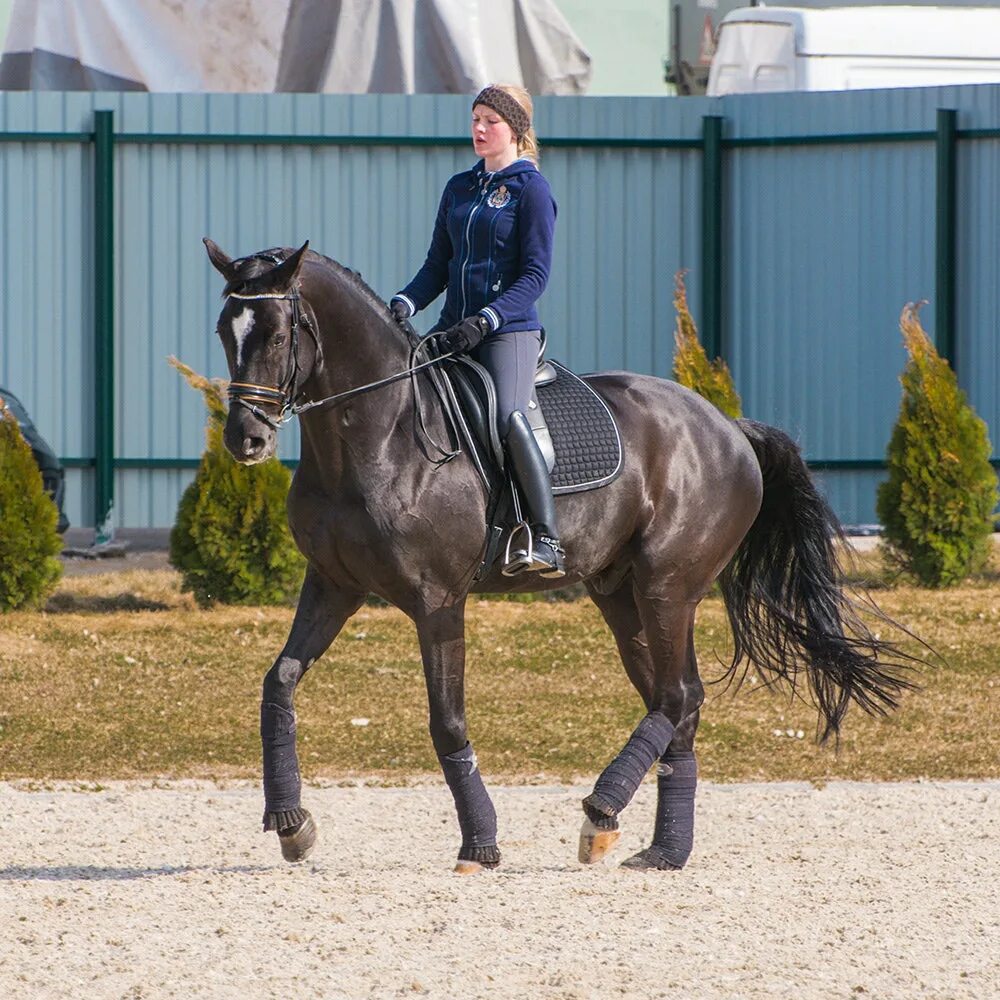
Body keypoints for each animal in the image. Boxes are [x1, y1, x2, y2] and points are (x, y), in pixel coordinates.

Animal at [203, 242, 916, 876]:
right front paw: (292, 823)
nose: (245, 439)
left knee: (679, 694)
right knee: (676, 703)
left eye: (277, 333)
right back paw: (661, 849)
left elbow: (447, 723)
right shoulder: (333, 584)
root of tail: (729, 428)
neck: (378, 436)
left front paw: (481, 843)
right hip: (621, 594)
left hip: (668, 587)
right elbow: (278, 683)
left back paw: (602, 811)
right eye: (223, 330)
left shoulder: (438, 601)